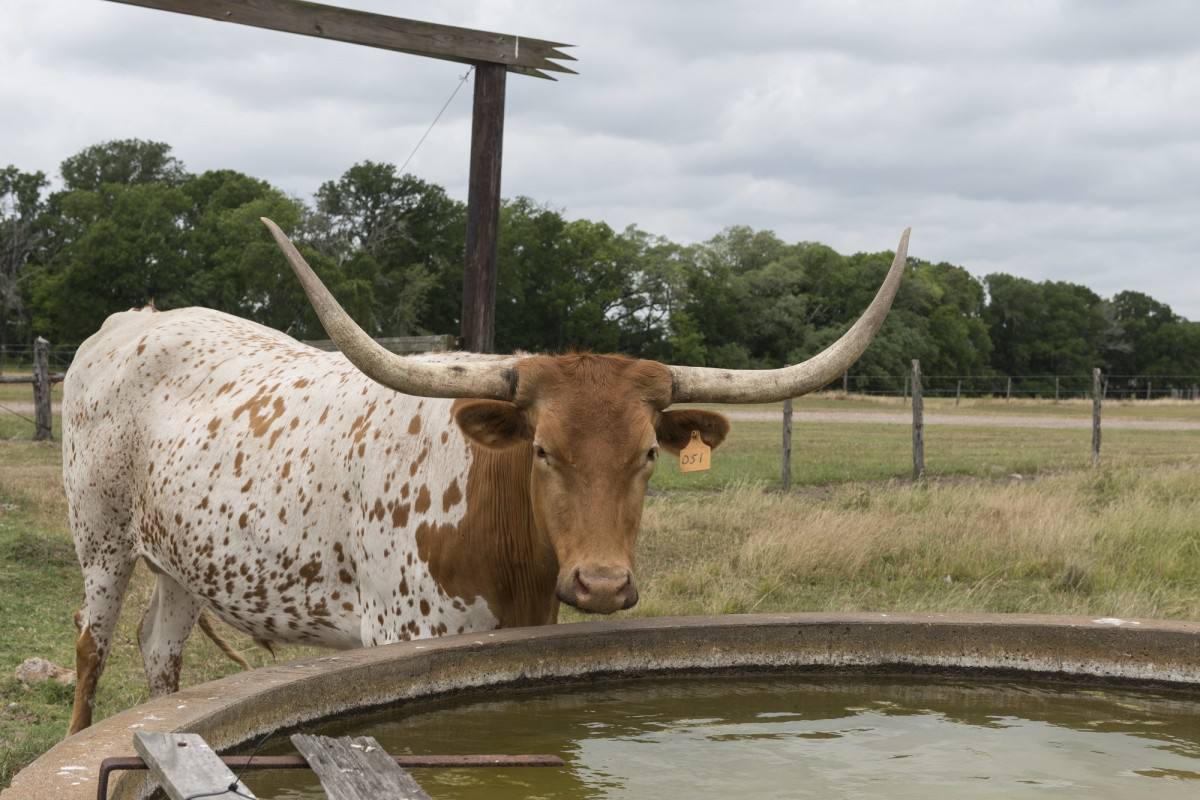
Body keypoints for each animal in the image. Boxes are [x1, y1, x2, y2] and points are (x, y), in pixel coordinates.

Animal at [63, 219, 907, 734]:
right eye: (543, 450)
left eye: (647, 455)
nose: (603, 584)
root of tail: (133, 321)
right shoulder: (400, 634)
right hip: (100, 541)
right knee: (91, 651)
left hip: (184, 560)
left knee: (159, 653)